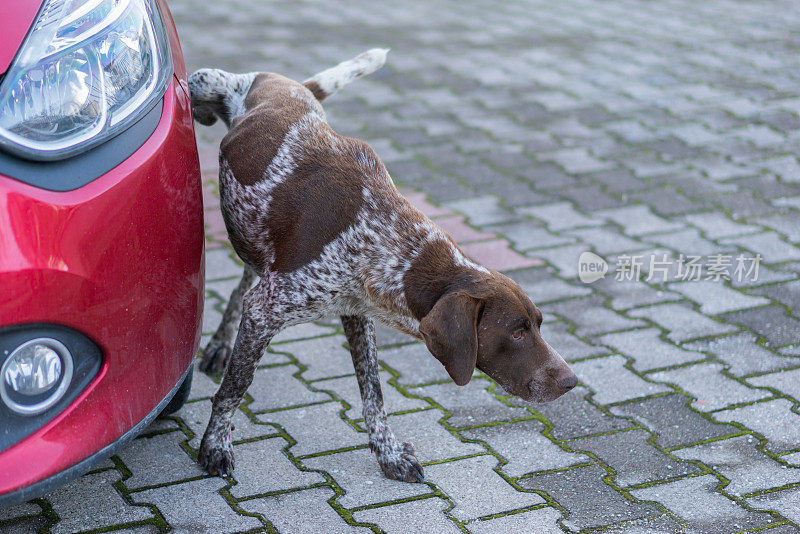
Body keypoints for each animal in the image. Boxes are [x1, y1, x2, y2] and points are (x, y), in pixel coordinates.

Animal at [188, 51, 576, 486]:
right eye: (516, 331)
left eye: (538, 324)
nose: (571, 381)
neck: (397, 249)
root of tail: (281, 82)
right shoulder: (268, 310)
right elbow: (236, 386)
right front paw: (215, 444)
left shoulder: (357, 313)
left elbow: (373, 392)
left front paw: (387, 453)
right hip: (202, 81)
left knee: (240, 286)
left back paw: (221, 344)